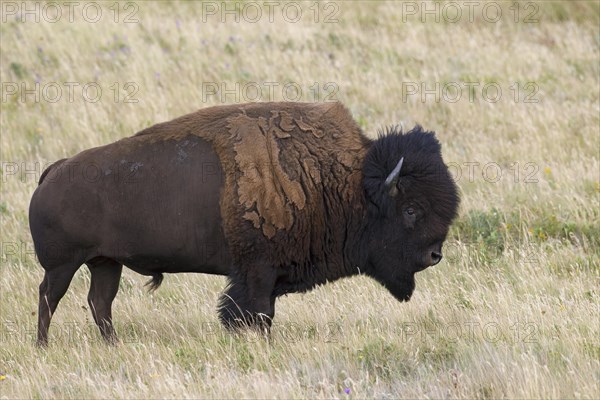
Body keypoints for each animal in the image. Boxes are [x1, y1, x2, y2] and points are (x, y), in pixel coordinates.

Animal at [28, 101, 460, 346]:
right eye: (410, 210)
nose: (434, 254)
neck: (341, 183)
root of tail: (53, 171)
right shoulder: (257, 274)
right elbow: (254, 313)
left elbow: (263, 314)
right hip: (64, 264)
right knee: (50, 297)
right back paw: (43, 346)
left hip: (105, 262)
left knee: (99, 302)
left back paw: (112, 346)